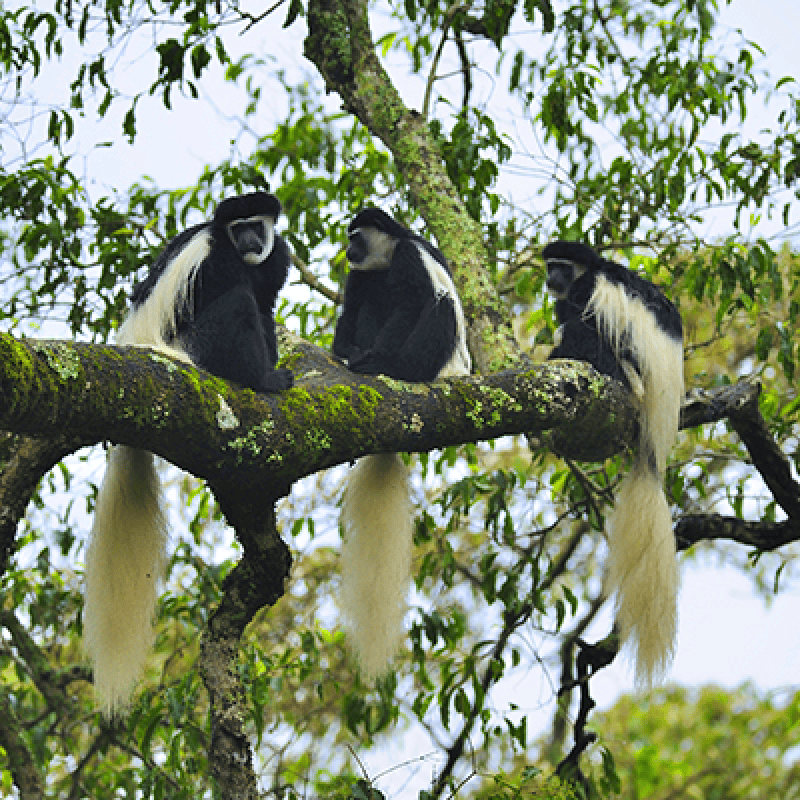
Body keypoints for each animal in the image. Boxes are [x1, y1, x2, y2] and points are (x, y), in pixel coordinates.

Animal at [85, 191, 292, 713]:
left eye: (257, 225)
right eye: (238, 227)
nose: (249, 240)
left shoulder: (275, 260)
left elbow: (267, 304)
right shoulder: (212, 260)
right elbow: (239, 299)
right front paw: (268, 376)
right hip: (195, 349)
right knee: (238, 304)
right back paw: (261, 380)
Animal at [334, 208, 471, 675]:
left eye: (356, 236)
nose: (348, 249)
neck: (387, 255)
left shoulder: (410, 258)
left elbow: (412, 302)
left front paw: (372, 359)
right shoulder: (359, 277)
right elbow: (353, 309)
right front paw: (345, 350)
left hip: (438, 355)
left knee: (436, 305)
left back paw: (394, 366)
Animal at [543, 239, 684, 685]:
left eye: (561, 267)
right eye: (549, 266)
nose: (551, 280)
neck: (592, 268)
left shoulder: (588, 290)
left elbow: (580, 319)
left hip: (629, 376)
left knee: (585, 332)